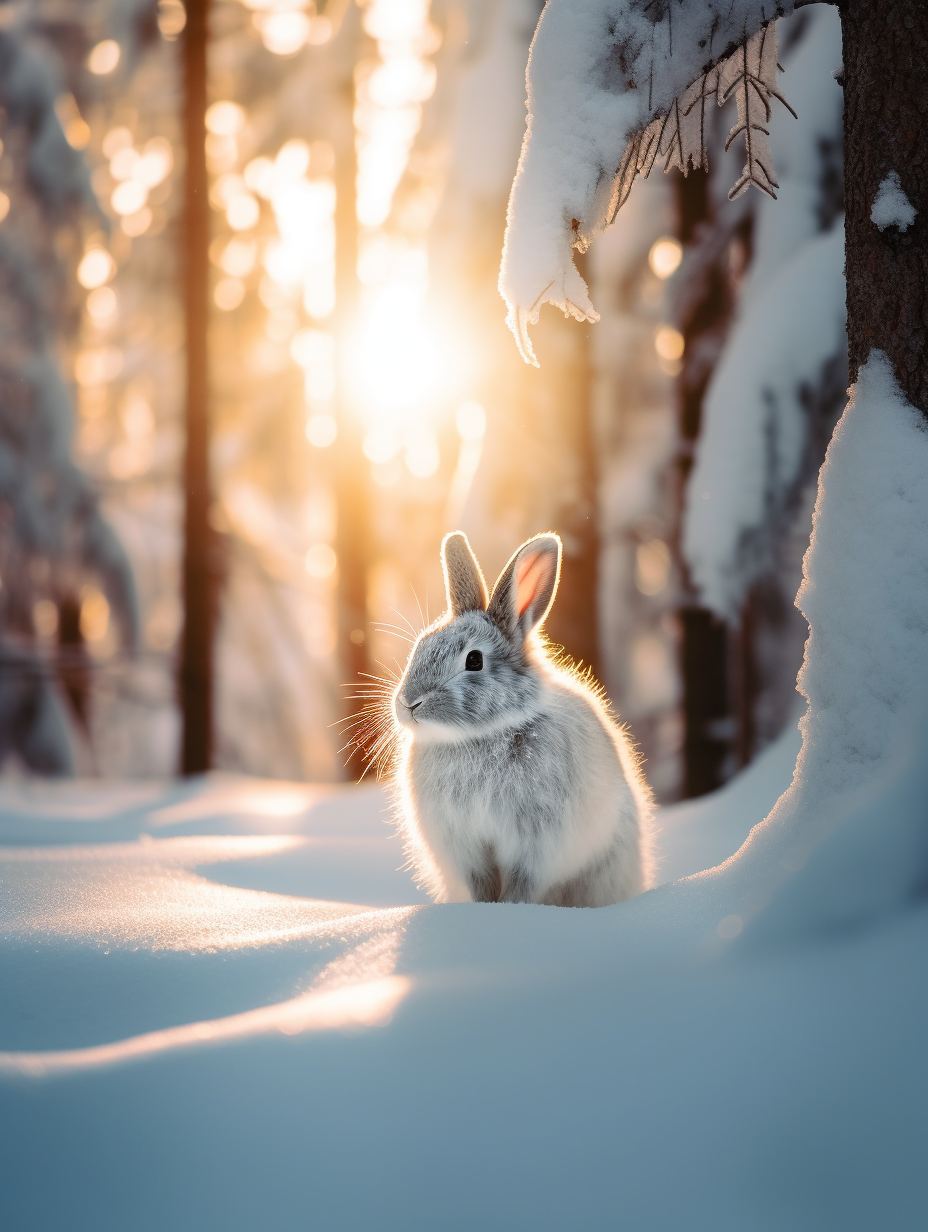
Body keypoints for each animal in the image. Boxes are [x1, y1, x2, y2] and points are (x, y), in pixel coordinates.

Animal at [386, 529, 655, 906]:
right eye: (421, 646)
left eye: (474, 661)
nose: (409, 703)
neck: (481, 736)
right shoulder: (466, 848)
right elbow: (481, 884)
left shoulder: (534, 844)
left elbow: (521, 884)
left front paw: (512, 910)